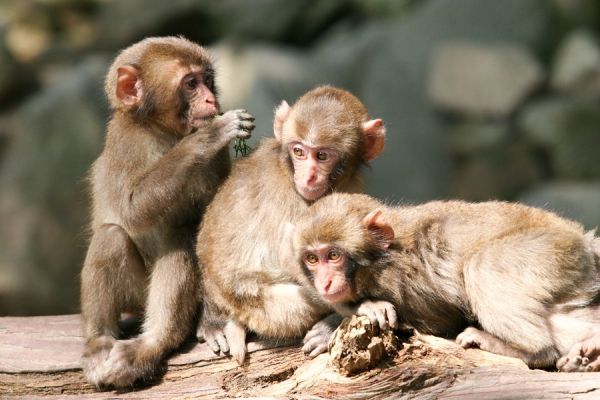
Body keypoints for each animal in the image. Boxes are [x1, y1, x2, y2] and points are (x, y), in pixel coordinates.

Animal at [79, 36, 253, 390]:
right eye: (191, 84)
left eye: (207, 80)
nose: (211, 98)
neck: (164, 132)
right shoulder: (124, 141)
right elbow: (131, 211)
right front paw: (208, 136)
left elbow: (213, 229)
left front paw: (216, 321)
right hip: (136, 293)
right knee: (112, 236)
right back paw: (104, 341)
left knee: (179, 236)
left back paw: (156, 341)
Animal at [196, 86, 384, 364]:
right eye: (299, 152)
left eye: (322, 155)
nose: (309, 176)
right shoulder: (294, 201)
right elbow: (295, 258)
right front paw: (360, 307)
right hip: (264, 310)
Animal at [292, 194, 600, 372]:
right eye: (312, 259)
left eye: (333, 256)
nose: (325, 283)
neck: (383, 257)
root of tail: (583, 240)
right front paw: (330, 326)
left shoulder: (404, 285)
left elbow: (437, 324)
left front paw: (365, 308)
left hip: (552, 250)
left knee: (483, 264)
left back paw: (530, 350)